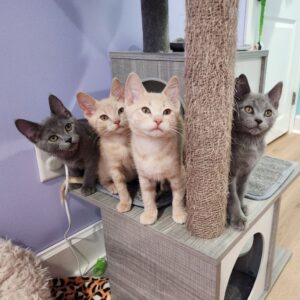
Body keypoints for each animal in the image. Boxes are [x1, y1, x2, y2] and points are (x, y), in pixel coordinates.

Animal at [76, 78, 136, 212]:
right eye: (103, 117)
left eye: (121, 110)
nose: (117, 121)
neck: (120, 141)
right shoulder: (113, 167)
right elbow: (120, 185)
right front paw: (125, 201)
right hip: (103, 169)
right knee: (102, 181)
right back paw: (111, 186)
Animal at [123, 72, 185, 223]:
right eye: (145, 110)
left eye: (167, 111)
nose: (158, 120)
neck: (153, 149)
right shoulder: (144, 176)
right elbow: (147, 197)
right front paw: (150, 214)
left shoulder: (179, 174)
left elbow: (178, 197)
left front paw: (179, 213)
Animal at [229, 74, 282, 230]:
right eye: (248, 109)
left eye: (268, 112)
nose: (259, 120)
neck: (251, 144)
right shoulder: (230, 173)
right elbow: (233, 196)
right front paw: (238, 218)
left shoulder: (247, 172)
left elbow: (241, 191)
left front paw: (242, 207)